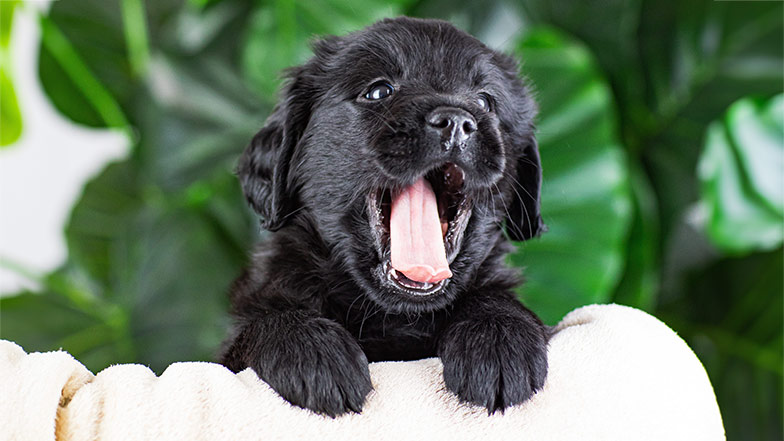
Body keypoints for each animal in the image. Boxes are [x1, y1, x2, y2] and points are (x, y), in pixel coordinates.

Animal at [220, 16, 548, 416]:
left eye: (486, 101)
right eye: (378, 92)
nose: (456, 121)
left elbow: (497, 297)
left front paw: (498, 337)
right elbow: (267, 319)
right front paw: (314, 354)